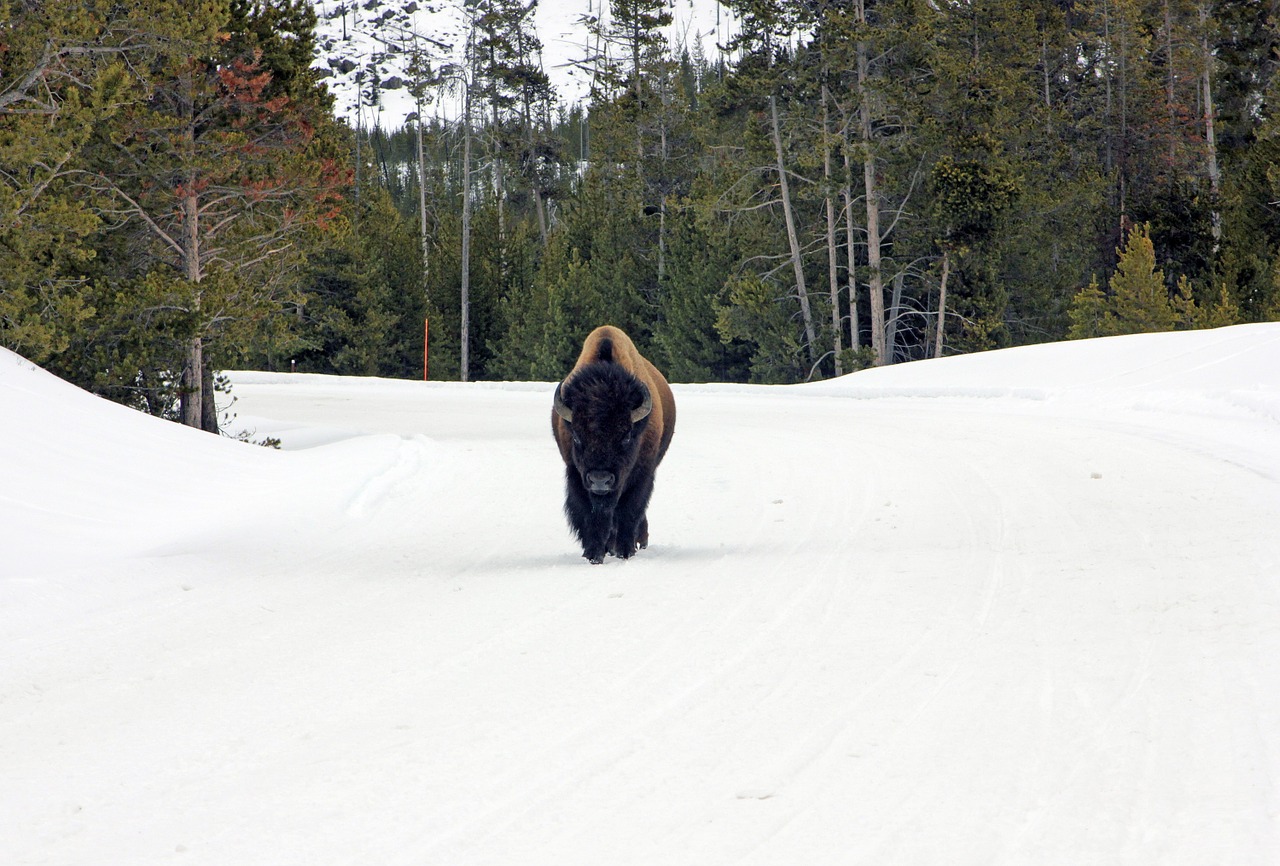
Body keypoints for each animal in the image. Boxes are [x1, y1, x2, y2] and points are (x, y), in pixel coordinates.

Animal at [550, 324, 675, 560]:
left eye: (626, 436)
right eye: (577, 436)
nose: (600, 480)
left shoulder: (642, 474)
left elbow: (629, 511)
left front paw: (625, 552)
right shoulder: (576, 475)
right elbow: (590, 514)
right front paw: (593, 554)